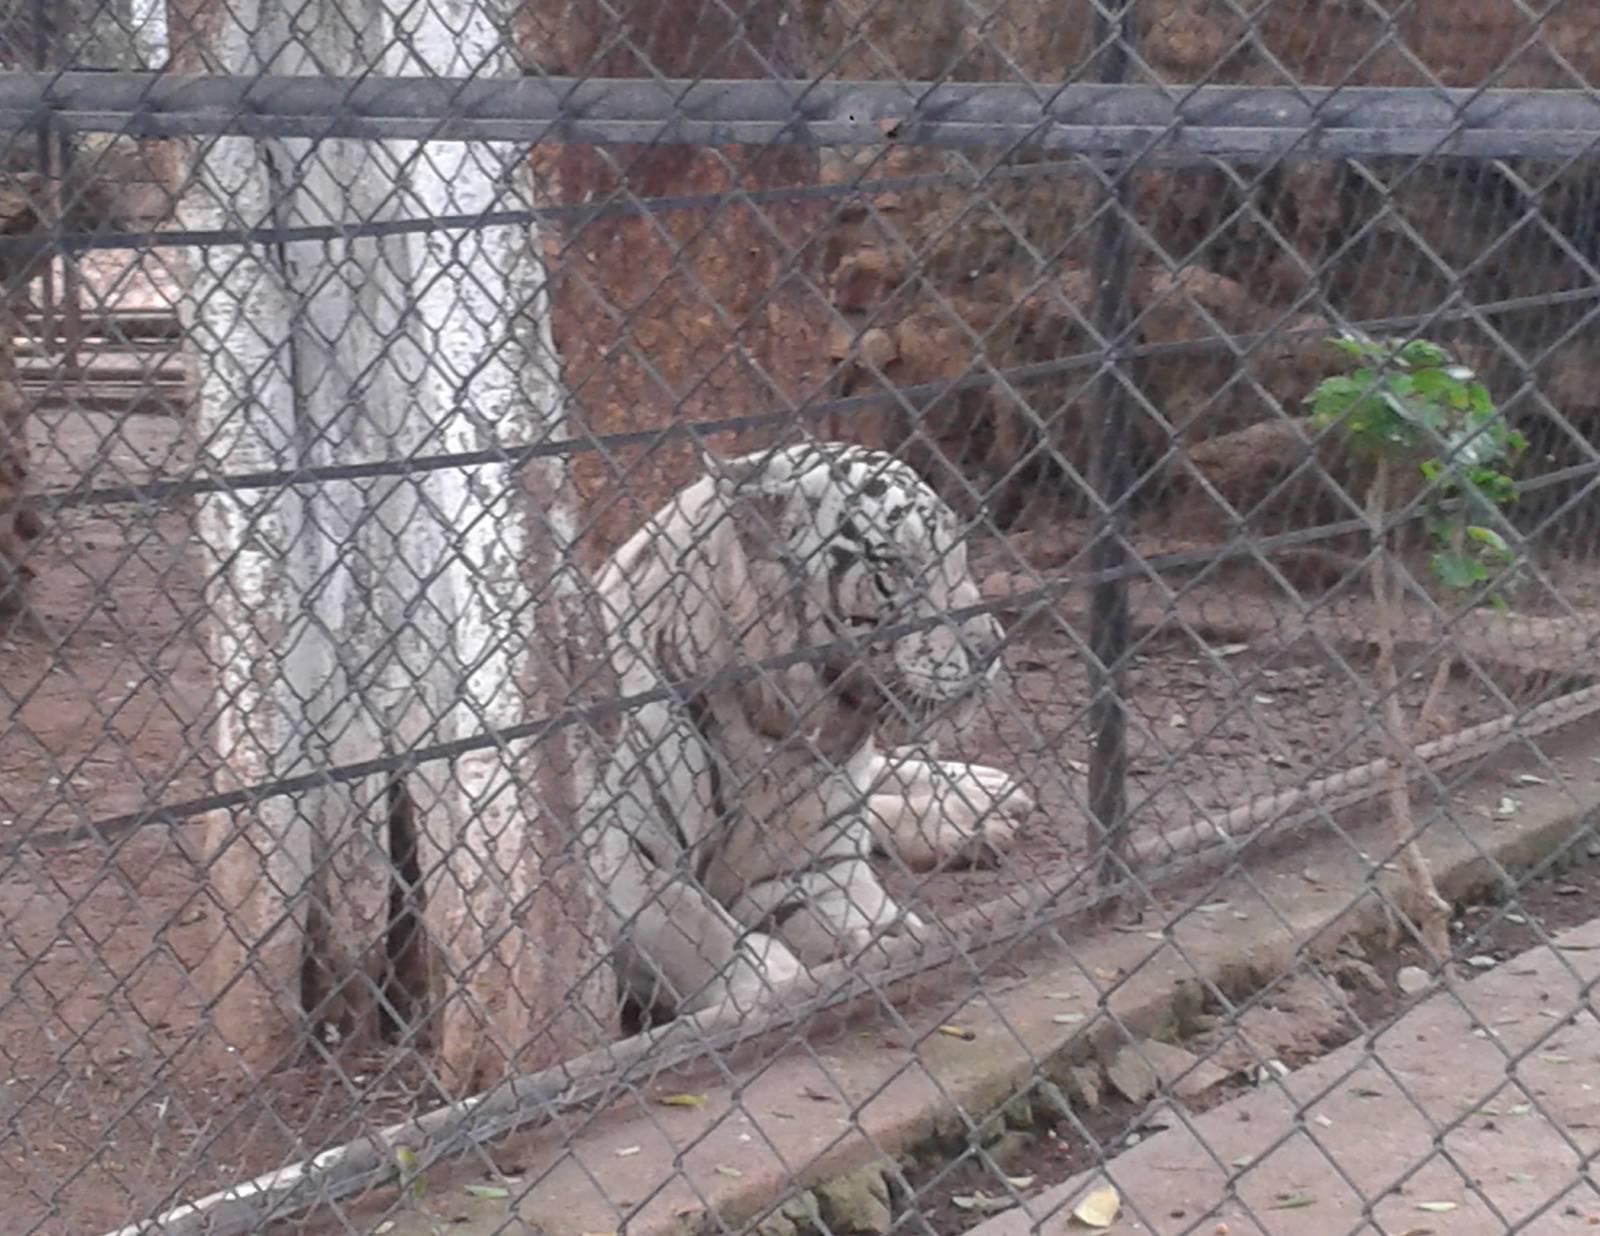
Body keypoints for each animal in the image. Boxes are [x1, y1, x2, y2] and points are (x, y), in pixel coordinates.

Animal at [579, 440, 1033, 1021]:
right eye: (894, 565)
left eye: (958, 552)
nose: (990, 647)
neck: (781, 732)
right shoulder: (610, 845)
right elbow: (687, 922)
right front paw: (765, 980)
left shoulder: (818, 866)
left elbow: (865, 919)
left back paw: (982, 800)